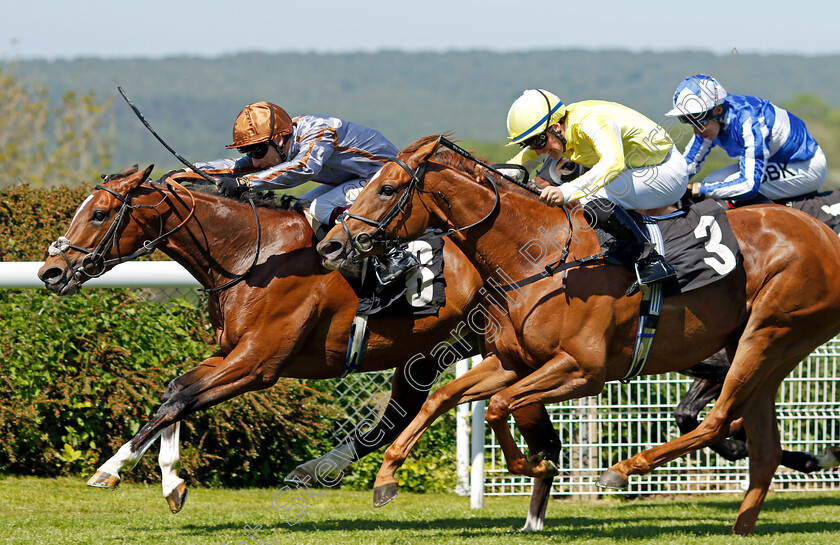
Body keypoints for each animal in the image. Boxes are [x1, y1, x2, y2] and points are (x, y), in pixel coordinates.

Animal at [36, 165, 560, 528]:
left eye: (100, 213)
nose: (51, 272)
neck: (251, 255)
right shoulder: (231, 352)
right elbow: (175, 392)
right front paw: (171, 482)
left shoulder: (258, 364)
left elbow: (181, 398)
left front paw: (113, 468)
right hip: (433, 353)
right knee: (405, 417)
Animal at [320, 136, 840, 536]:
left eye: (387, 188)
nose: (331, 245)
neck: (539, 257)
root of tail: (825, 236)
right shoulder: (514, 362)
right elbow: (443, 398)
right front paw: (386, 477)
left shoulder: (583, 370)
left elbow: (500, 406)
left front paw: (534, 465)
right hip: (762, 351)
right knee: (764, 448)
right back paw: (743, 525)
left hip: (766, 334)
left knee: (718, 422)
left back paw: (623, 470)